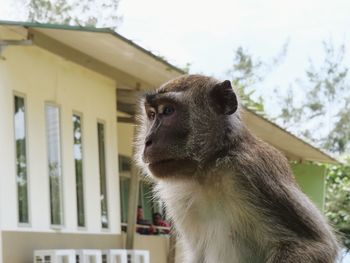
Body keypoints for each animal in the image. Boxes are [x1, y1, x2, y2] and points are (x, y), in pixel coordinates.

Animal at [134, 75, 340, 263]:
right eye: (151, 115)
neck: (207, 169)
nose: (148, 141)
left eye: (168, 110)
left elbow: (313, 245)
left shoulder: (251, 171)